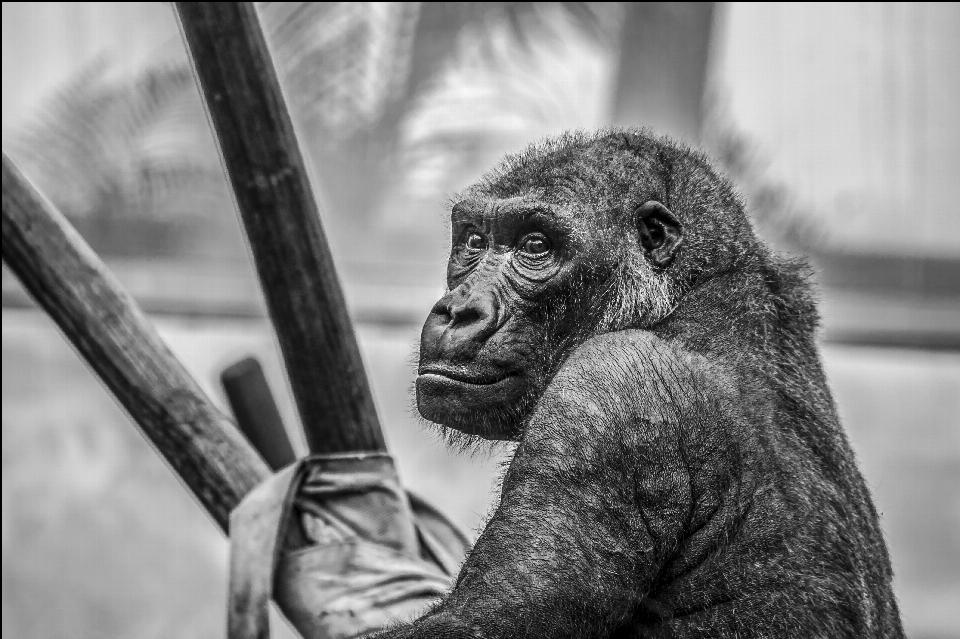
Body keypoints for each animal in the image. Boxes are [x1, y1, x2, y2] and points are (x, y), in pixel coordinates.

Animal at [374, 127, 900, 636]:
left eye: (535, 246)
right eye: (474, 242)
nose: (458, 310)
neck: (684, 297)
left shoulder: (604, 396)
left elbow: (486, 618)